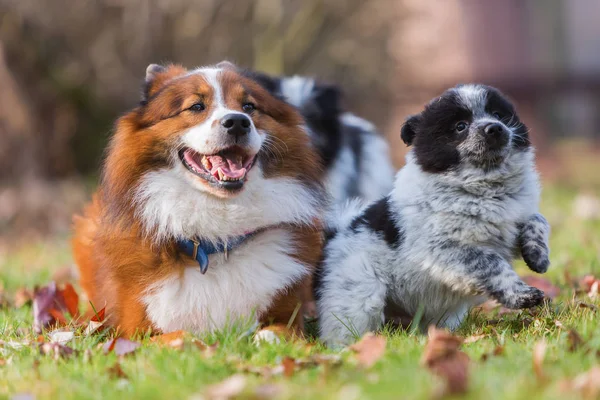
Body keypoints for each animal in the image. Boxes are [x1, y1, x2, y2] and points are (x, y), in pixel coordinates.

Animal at [72, 61, 326, 338]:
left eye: (249, 106)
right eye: (196, 107)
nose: (238, 122)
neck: (218, 240)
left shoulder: (290, 319)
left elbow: (273, 333)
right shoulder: (135, 333)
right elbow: (183, 336)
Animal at [316, 83, 552, 346]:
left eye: (498, 115)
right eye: (460, 126)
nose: (495, 128)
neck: (484, 188)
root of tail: (335, 233)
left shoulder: (512, 223)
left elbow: (537, 219)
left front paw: (538, 256)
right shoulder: (444, 249)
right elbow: (490, 262)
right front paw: (522, 295)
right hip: (359, 293)